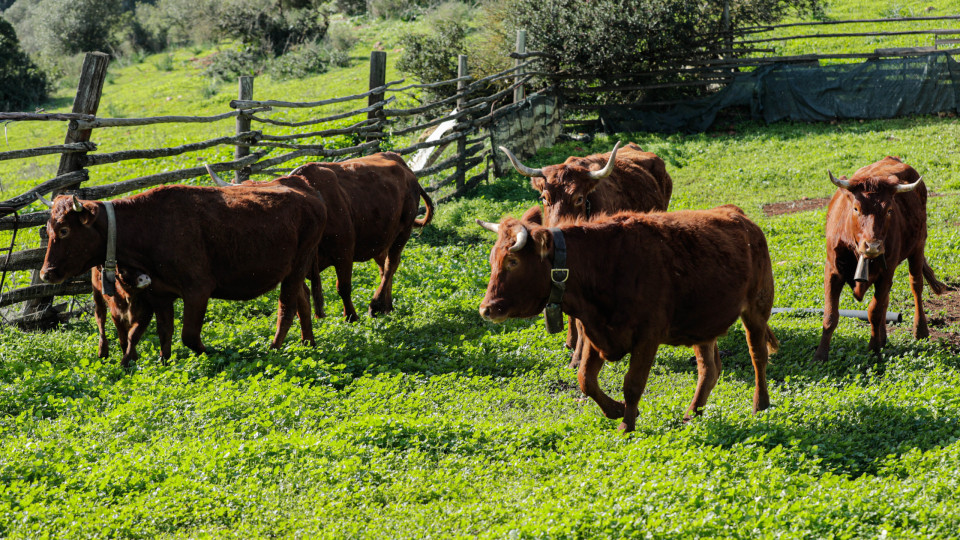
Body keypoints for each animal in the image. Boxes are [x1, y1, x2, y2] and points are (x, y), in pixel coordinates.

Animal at [213, 152, 436, 320]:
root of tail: (403, 165)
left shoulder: (344, 252)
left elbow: (343, 287)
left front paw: (350, 316)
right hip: (379, 236)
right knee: (384, 267)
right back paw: (386, 306)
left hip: (403, 230)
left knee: (391, 264)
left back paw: (375, 305)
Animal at [476, 205, 776, 432]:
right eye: (492, 260)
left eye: (512, 262)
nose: (486, 309)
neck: (601, 264)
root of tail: (738, 215)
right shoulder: (595, 332)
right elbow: (586, 380)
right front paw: (616, 411)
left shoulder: (647, 337)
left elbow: (632, 384)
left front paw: (627, 426)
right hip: (702, 323)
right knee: (709, 369)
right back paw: (693, 412)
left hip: (757, 308)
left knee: (758, 355)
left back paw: (760, 405)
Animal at [812, 155, 948, 362]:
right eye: (856, 208)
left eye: (889, 210)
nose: (873, 246)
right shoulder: (832, 271)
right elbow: (830, 315)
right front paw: (820, 355)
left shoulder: (886, 271)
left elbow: (874, 311)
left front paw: (874, 349)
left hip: (918, 247)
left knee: (916, 285)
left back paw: (920, 330)